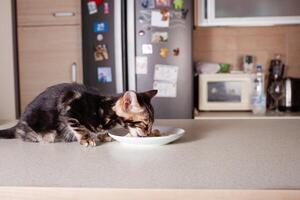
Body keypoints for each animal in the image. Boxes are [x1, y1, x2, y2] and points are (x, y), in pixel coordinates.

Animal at [0, 83, 157, 147]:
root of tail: (18, 122)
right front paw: (86, 139)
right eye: (145, 124)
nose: (148, 134)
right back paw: (44, 137)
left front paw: (103, 135)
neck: (104, 108)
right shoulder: (69, 106)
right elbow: (79, 127)